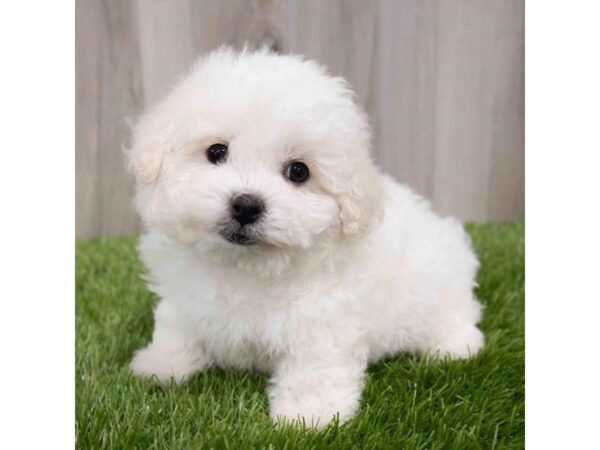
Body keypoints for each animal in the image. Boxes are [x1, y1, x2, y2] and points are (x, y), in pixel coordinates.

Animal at [126, 47, 482, 428]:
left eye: (298, 171)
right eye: (216, 151)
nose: (246, 205)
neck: (247, 266)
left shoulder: (324, 320)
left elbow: (315, 368)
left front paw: (308, 415)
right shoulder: (184, 296)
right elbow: (177, 328)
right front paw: (161, 364)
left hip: (441, 295)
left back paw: (453, 347)